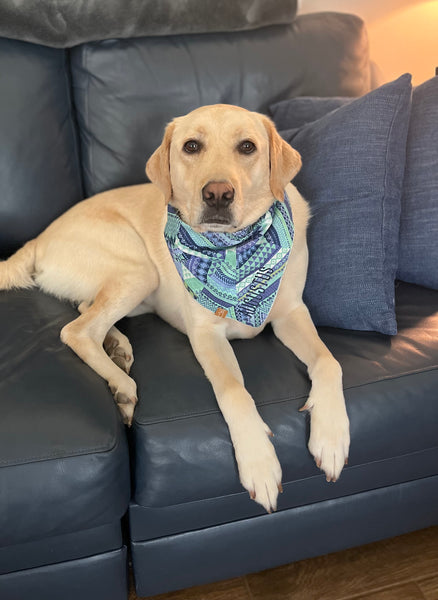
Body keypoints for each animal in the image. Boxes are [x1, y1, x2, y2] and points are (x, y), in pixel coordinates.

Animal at [0, 105, 350, 512]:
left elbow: (329, 361)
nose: (218, 194)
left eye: (248, 146)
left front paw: (331, 436)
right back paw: (121, 384)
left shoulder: (292, 312)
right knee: (77, 330)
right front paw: (259, 461)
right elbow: (233, 391)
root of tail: (37, 238)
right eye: (191, 146)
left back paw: (118, 346)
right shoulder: (206, 334)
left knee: (86, 308)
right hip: (140, 270)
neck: (235, 251)